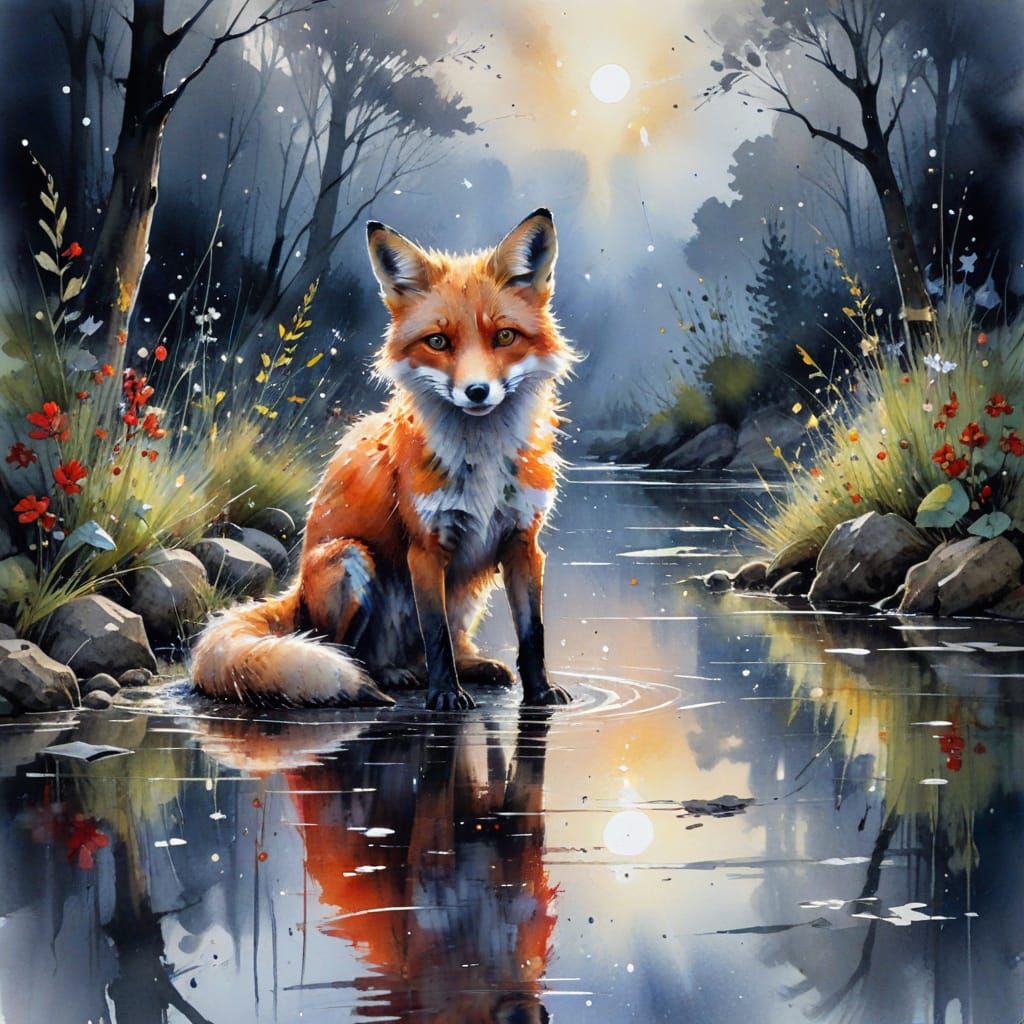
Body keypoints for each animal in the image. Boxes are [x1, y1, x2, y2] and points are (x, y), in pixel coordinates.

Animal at [191, 209, 575, 710]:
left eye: (505, 336)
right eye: (438, 341)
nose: (476, 391)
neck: (483, 462)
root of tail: (295, 592)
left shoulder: (522, 542)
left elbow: (532, 633)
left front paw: (541, 692)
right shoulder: (426, 548)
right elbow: (436, 637)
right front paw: (445, 696)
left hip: (468, 593)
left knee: (445, 644)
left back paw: (470, 666)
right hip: (352, 559)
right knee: (343, 649)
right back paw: (380, 680)